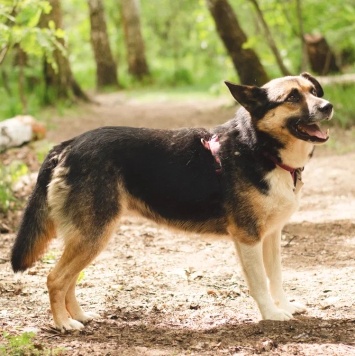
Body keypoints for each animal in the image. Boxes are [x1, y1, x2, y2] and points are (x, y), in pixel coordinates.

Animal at [10, 72, 334, 330]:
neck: (258, 148)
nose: (328, 106)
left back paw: (78, 316)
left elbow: (276, 277)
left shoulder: (272, 236)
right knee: (55, 278)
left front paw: (285, 306)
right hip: (93, 234)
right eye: (292, 97)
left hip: (90, 237)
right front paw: (271, 314)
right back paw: (64, 324)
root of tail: (69, 145)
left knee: (70, 279)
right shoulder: (248, 238)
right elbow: (259, 282)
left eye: (314, 91)